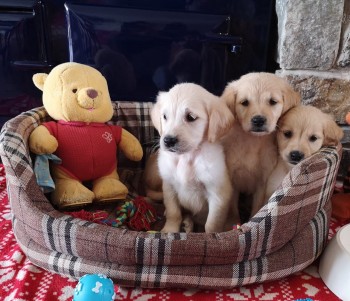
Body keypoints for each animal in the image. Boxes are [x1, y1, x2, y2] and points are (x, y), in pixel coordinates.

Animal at [151, 82, 235, 232]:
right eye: (165, 116)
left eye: (190, 117)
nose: (168, 140)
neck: (187, 157)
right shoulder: (169, 186)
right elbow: (173, 212)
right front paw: (169, 230)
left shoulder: (218, 194)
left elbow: (212, 224)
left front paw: (212, 235)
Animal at [221, 72, 300, 218]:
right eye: (244, 102)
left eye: (272, 101)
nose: (258, 120)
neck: (252, 140)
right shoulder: (232, 180)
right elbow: (233, 210)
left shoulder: (262, 181)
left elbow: (257, 207)